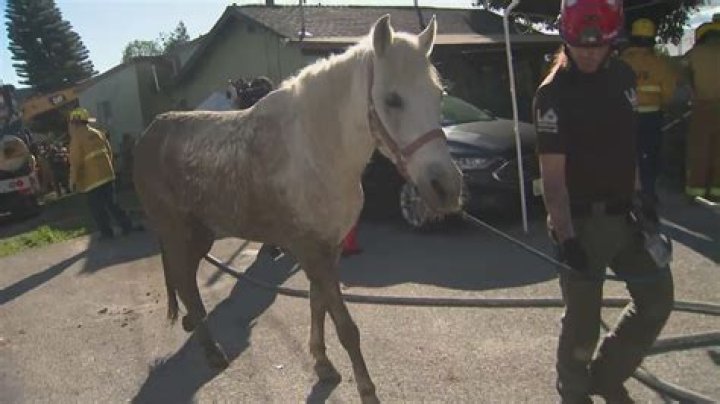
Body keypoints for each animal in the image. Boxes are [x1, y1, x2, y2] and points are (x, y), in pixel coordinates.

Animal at [133, 15, 462, 403]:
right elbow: (346, 326)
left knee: (187, 282)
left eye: (439, 95)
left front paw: (322, 363)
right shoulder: (310, 250)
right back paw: (213, 352)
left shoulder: (328, 248)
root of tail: (147, 137)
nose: (446, 187)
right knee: (185, 281)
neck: (314, 149)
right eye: (392, 99)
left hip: (200, 234)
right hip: (175, 232)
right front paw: (366, 390)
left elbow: (317, 305)